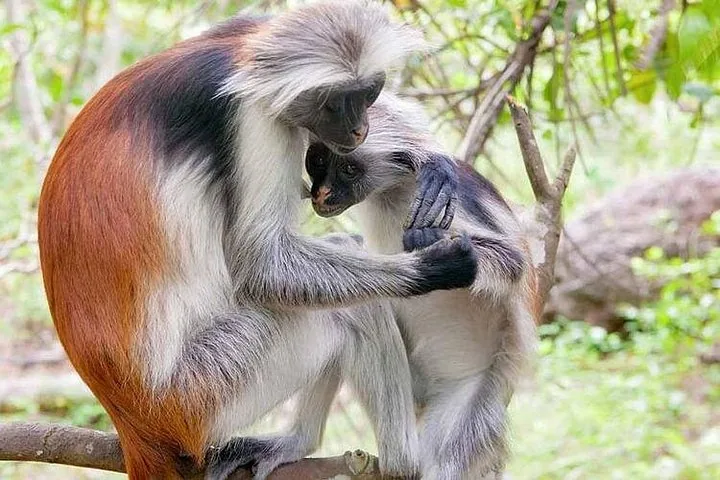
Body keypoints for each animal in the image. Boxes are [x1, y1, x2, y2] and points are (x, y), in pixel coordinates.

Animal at [37, 2, 479, 479]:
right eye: (337, 102)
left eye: (368, 94)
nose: (359, 130)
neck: (240, 62)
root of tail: (132, 422)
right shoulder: (252, 117)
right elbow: (261, 266)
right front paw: (434, 267)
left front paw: (423, 151)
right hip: (205, 390)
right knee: (350, 308)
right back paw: (402, 461)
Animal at [304, 92, 539, 480]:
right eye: (319, 160)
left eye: (349, 169)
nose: (322, 194)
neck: (393, 190)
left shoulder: (452, 202)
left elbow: (514, 263)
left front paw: (434, 242)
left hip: (469, 395)